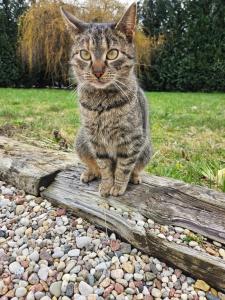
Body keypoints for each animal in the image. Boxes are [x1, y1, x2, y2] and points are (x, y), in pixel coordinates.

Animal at [61, 2, 151, 198]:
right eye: (85, 54)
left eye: (112, 54)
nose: (97, 71)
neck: (102, 102)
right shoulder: (95, 140)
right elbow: (104, 166)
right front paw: (106, 185)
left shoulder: (132, 140)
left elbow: (124, 167)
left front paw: (118, 186)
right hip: (81, 140)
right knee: (93, 165)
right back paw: (89, 173)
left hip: (147, 147)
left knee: (137, 167)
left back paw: (135, 177)